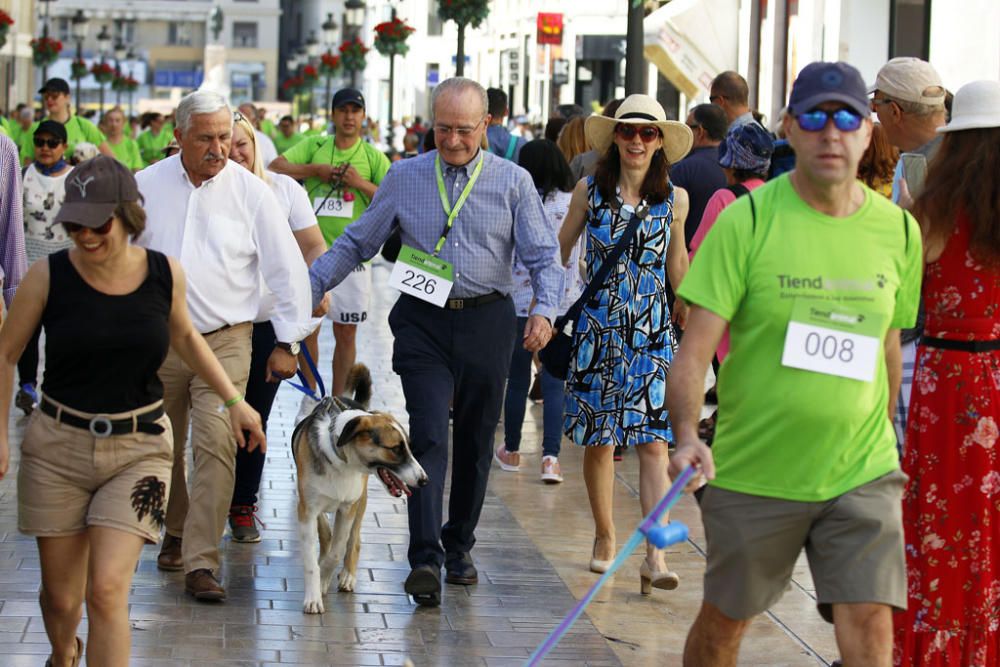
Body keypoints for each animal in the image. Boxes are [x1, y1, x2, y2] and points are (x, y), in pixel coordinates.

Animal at [292, 366, 428, 616]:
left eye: (408, 448)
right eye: (395, 449)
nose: (424, 480)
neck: (340, 460)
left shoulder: (348, 507)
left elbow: (337, 551)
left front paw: (325, 578)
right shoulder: (307, 508)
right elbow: (313, 557)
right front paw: (313, 596)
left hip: (360, 500)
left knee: (353, 539)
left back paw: (347, 575)